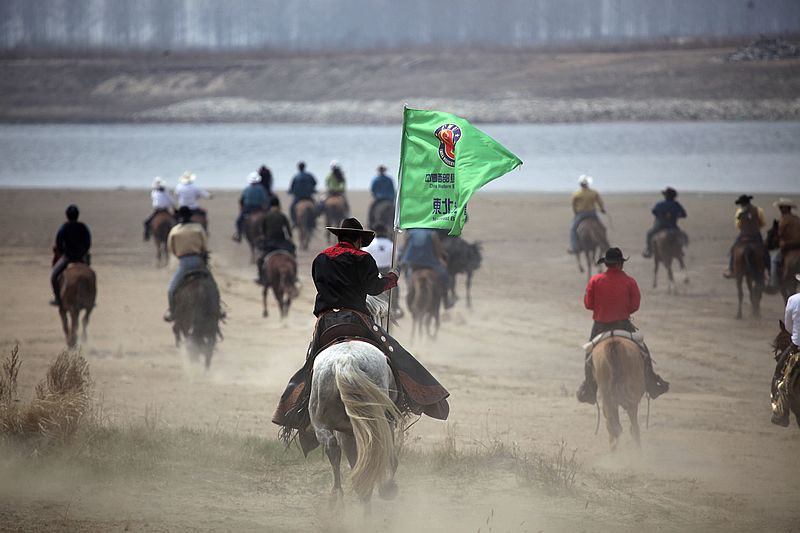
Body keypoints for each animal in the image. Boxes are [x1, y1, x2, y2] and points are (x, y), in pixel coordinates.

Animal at [309, 339, 402, 509]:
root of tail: (345, 360)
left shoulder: (347, 432)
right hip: (377, 422)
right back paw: (384, 488)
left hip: (322, 424)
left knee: (333, 448)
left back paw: (338, 498)